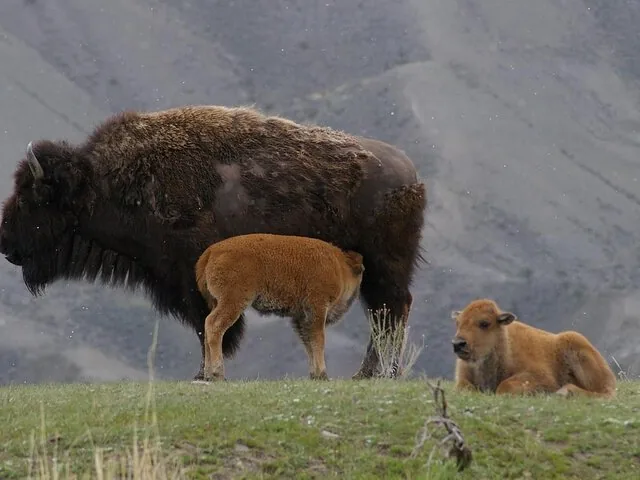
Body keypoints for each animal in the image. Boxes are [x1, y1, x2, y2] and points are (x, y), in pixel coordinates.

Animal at [195, 233, 364, 381]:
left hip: (217, 302)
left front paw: (314, 375)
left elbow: (308, 343)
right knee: (214, 325)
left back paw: (208, 375)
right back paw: (217, 373)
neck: (339, 266)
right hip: (233, 302)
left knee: (206, 325)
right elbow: (318, 339)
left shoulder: (301, 318)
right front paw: (322, 374)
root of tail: (211, 251)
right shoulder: (317, 309)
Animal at [450, 298, 616, 398]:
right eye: (458, 323)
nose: (458, 344)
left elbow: (505, 385)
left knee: (605, 392)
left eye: (484, 323)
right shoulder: (462, 378)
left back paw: (565, 392)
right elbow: (465, 387)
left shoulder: (542, 377)